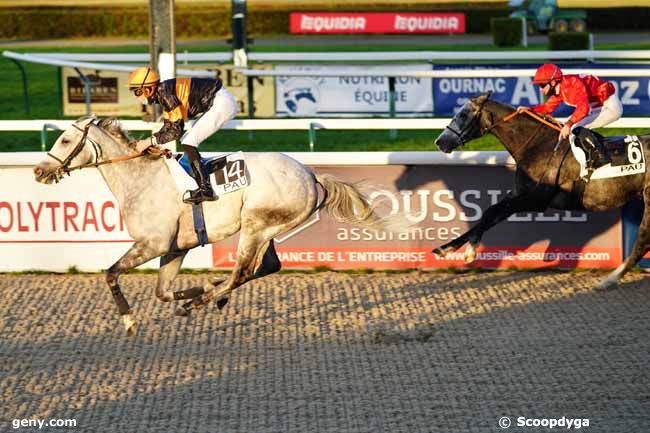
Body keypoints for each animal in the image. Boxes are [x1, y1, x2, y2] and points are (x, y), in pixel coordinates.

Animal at [35, 116, 394, 332]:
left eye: (65, 140)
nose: (39, 171)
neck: (142, 180)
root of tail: (310, 174)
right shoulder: (176, 247)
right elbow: (162, 292)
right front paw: (196, 290)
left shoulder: (153, 244)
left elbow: (111, 274)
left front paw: (129, 321)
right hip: (269, 229)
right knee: (268, 266)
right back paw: (211, 294)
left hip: (255, 225)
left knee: (242, 272)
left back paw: (203, 300)